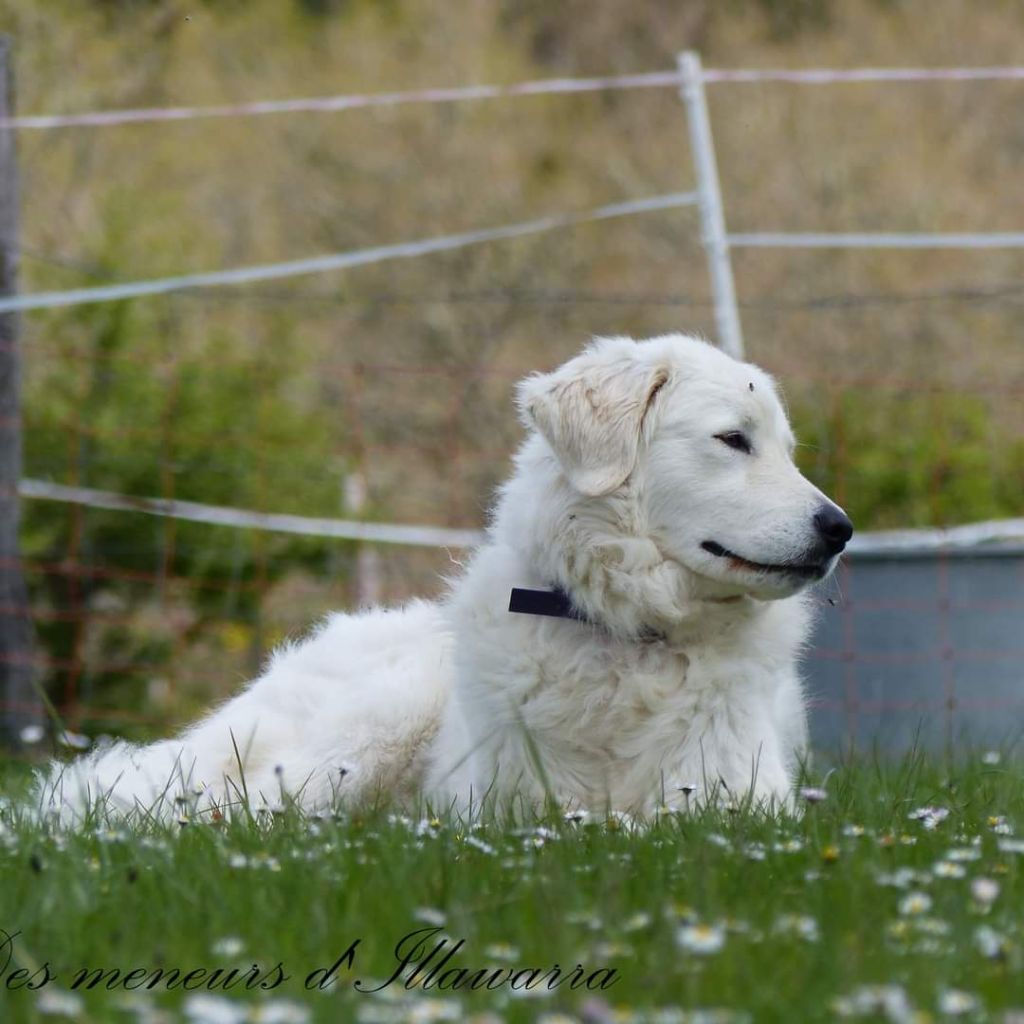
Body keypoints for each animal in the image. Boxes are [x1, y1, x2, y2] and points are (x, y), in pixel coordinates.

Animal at [37, 335, 847, 823]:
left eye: (785, 448)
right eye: (732, 439)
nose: (839, 528)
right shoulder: (515, 811)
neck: (629, 639)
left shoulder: (740, 806)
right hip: (366, 729)